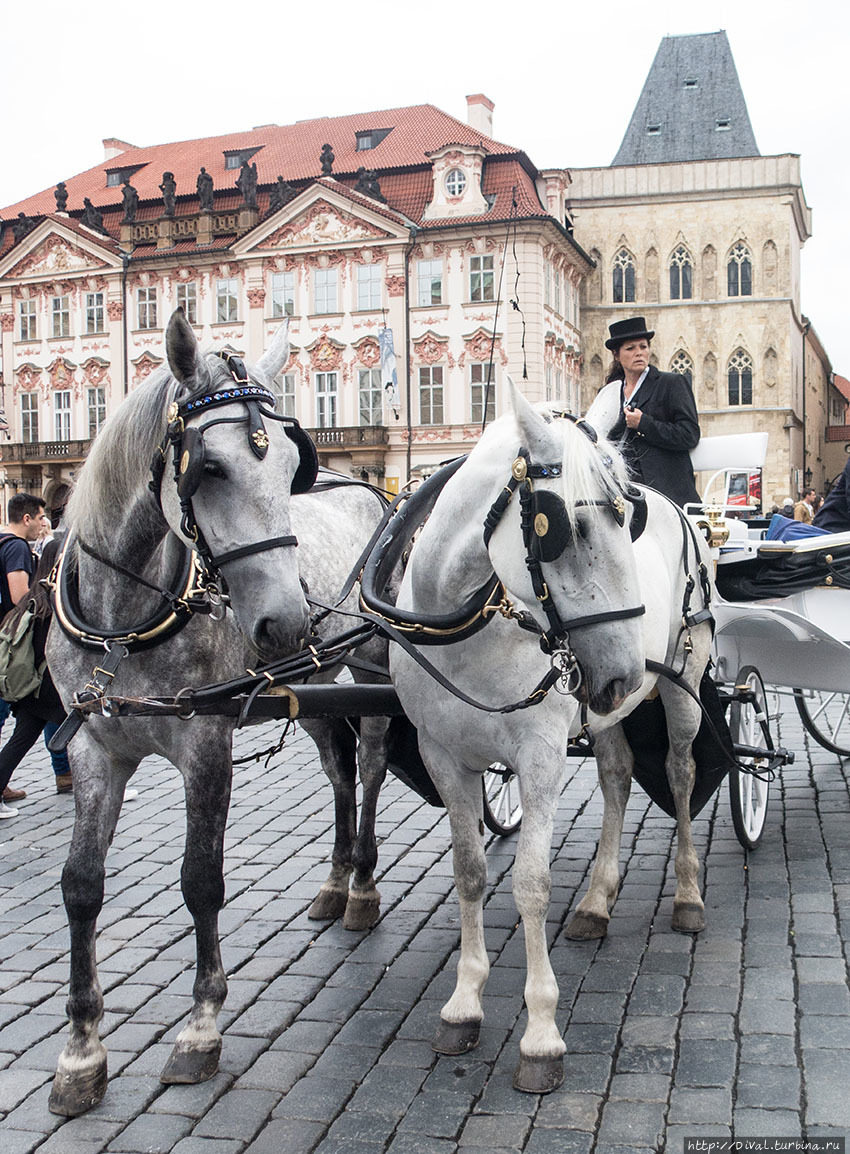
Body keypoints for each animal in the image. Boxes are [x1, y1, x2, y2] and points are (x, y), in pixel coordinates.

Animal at [45, 311, 387, 1112]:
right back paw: (335, 883)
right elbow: (81, 884)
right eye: (209, 469)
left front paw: (200, 1027)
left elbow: (201, 878)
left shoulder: (206, 743)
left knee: (371, 764)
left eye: (290, 466)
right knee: (338, 771)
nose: (285, 623)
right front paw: (81, 1047)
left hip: (370, 667)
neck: (125, 621)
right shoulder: (93, 748)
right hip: (315, 687)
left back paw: (361, 883)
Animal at [389, 383, 710, 1093]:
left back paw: (687, 893)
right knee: (617, 777)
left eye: (629, 519)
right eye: (566, 527)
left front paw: (540, 1032)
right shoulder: (443, 757)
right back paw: (596, 901)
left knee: (680, 776)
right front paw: (465, 1001)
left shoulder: (538, 757)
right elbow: (471, 870)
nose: (624, 673)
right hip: (604, 713)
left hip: (683, 687)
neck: (468, 631)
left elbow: (531, 883)